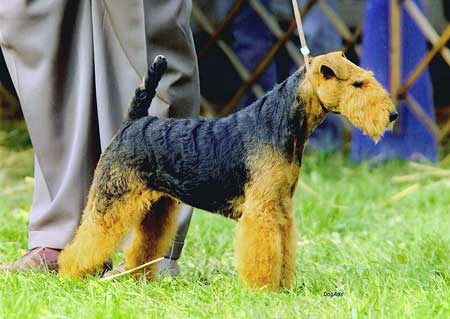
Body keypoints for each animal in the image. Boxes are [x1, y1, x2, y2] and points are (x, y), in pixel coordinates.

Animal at [57, 51, 398, 292]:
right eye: (357, 83)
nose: (393, 115)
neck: (280, 123)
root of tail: (134, 122)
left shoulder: (281, 208)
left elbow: (284, 249)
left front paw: (284, 287)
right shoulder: (261, 211)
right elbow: (263, 252)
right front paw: (264, 290)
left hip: (157, 207)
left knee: (143, 247)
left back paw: (140, 280)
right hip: (111, 200)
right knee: (85, 242)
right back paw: (69, 275)